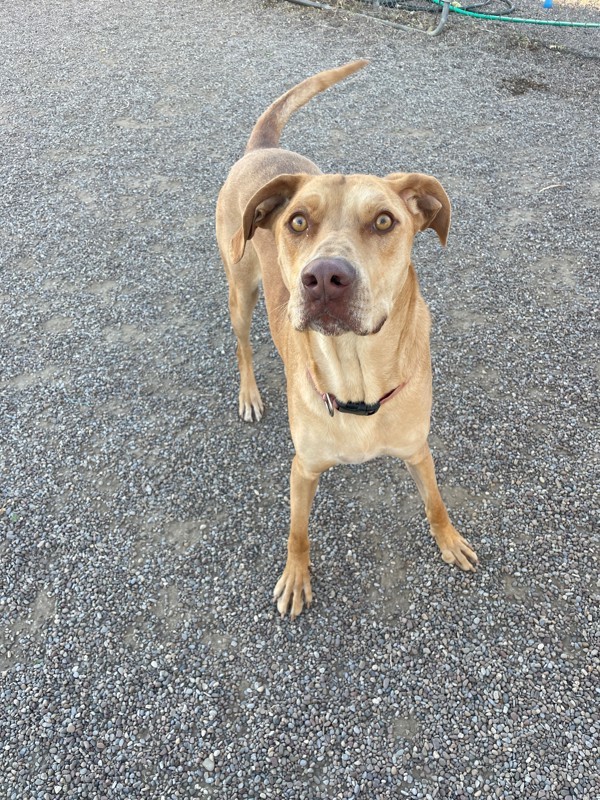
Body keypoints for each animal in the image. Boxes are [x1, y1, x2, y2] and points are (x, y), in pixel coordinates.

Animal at [216, 61, 478, 620]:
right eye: (297, 221)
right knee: (243, 344)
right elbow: (297, 533)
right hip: (240, 291)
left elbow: (435, 500)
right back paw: (249, 393)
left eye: (384, 220)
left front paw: (448, 538)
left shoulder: (418, 449)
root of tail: (262, 149)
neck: (358, 378)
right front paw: (296, 576)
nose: (324, 279)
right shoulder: (303, 470)